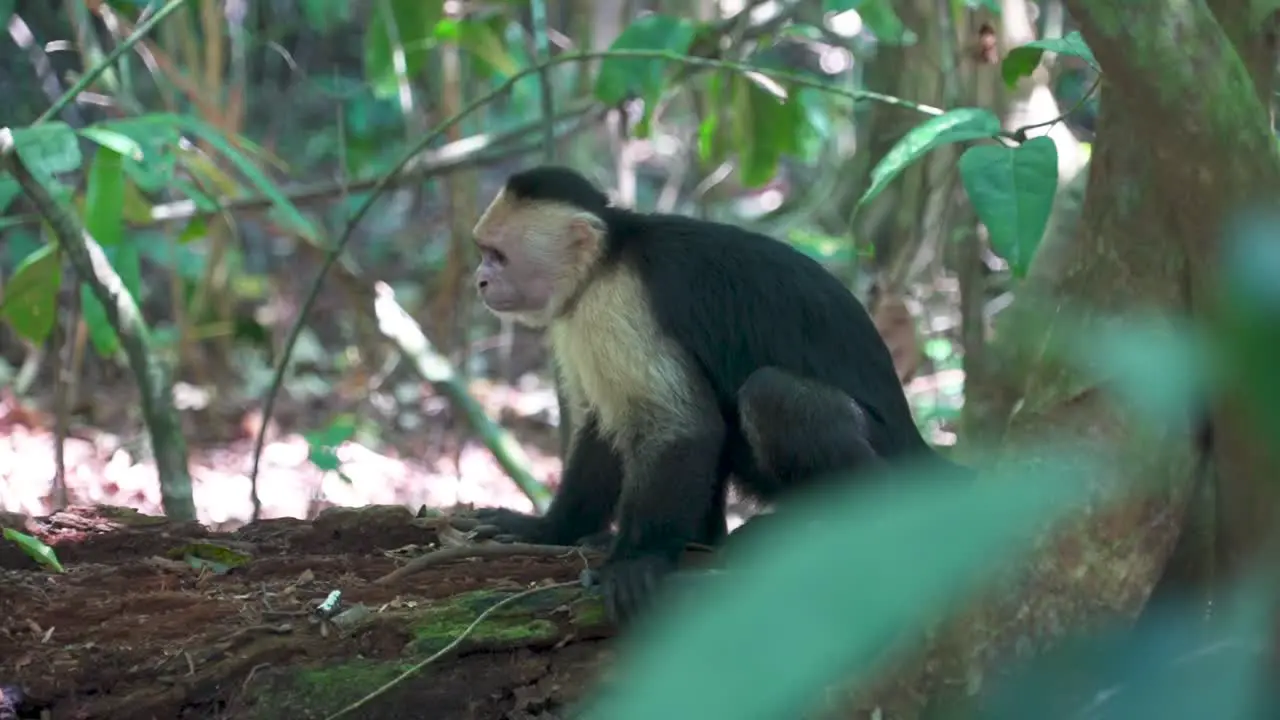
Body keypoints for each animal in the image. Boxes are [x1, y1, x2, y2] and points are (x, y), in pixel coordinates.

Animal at [471, 165, 962, 620]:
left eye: (498, 256)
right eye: (484, 253)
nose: (479, 281)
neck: (604, 263)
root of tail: (915, 445)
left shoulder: (617, 306)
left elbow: (680, 429)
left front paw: (636, 561)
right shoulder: (580, 319)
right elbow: (605, 427)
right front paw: (549, 529)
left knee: (771, 394)